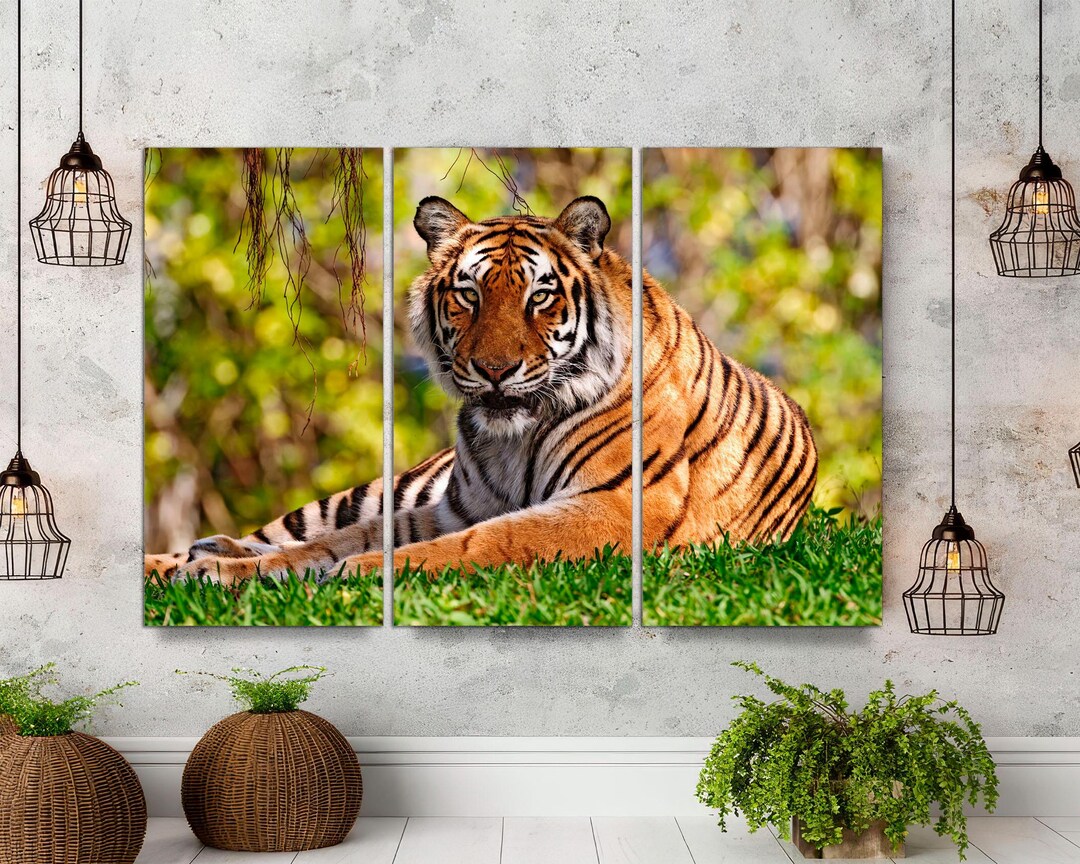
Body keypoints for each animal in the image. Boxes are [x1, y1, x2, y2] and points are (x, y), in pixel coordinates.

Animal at [144, 195, 817, 587]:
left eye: (540, 295)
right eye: (468, 294)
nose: (494, 369)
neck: (513, 438)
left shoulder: (615, 505)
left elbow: (483, 543)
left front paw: (352, 574)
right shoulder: (452, 506)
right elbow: (339, 539)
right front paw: (225, 571)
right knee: (283, 531)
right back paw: (190, 556)